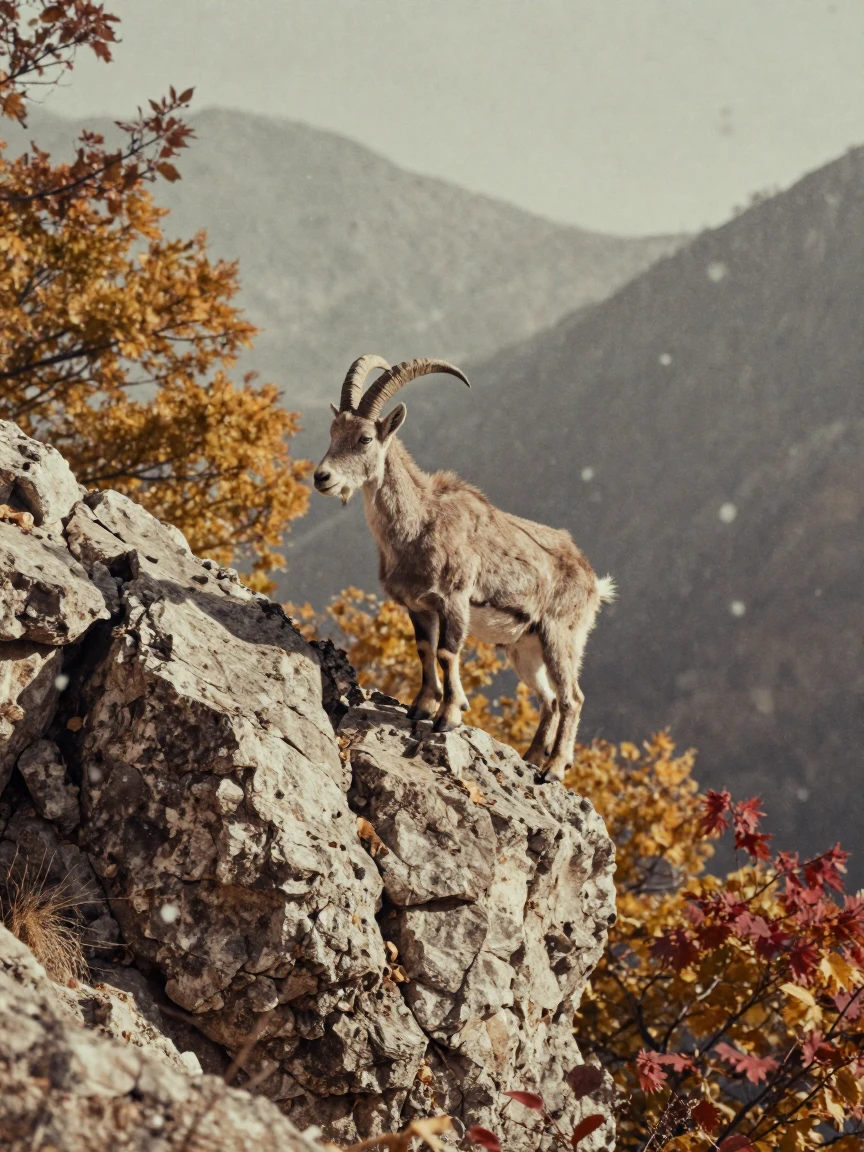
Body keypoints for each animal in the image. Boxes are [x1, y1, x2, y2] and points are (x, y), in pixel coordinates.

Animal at [314, 355, 615, 781]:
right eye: (333, 431)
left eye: (365, 438)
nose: (321, 477)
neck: (419, 522)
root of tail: (592, 581)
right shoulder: (418, 606)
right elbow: (424, 650)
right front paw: (422, 706)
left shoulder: (453, 599)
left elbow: (447, 652)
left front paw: (449, 715)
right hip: (524, 647)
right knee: (549, 699)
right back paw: (531, 756)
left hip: (561, 636)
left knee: (572, 697)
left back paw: (554, 767)